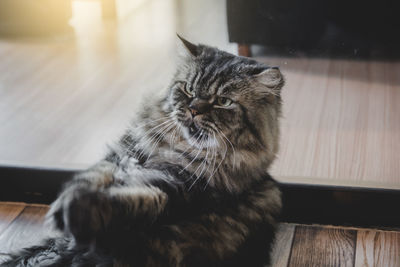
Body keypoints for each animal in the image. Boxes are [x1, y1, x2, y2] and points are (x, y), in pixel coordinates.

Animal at [2, 36, 284, 267]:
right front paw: (67, 205)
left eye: (223, 102)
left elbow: (132, 200)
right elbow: (90, 178)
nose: (194, 109)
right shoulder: (119, 155)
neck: (168, 148)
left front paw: (81, 210)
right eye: (188, 89)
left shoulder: (176, 187)